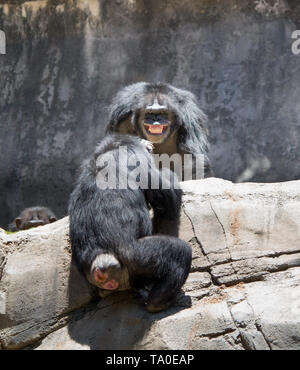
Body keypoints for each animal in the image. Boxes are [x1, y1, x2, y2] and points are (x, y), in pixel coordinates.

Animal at [68, 133, 192, 312]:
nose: (148, 143)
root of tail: (100, 265)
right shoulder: (140, 159)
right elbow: (168, 197)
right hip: (140, 257)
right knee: (181, 253)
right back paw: (160, 302)